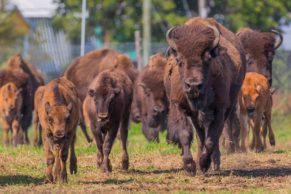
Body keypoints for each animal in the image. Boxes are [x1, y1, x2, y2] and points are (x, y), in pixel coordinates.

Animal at [165, 17, 245, 174]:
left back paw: (214, 162)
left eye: (207, 58)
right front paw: (190, 166)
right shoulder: (178, 105)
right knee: (200, 134)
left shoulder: (220, 109)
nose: (193, 85)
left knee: (213, 134)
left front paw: (204, 164)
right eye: (180, 60)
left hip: (229, 106)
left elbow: (211, 139)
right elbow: (185, 134)